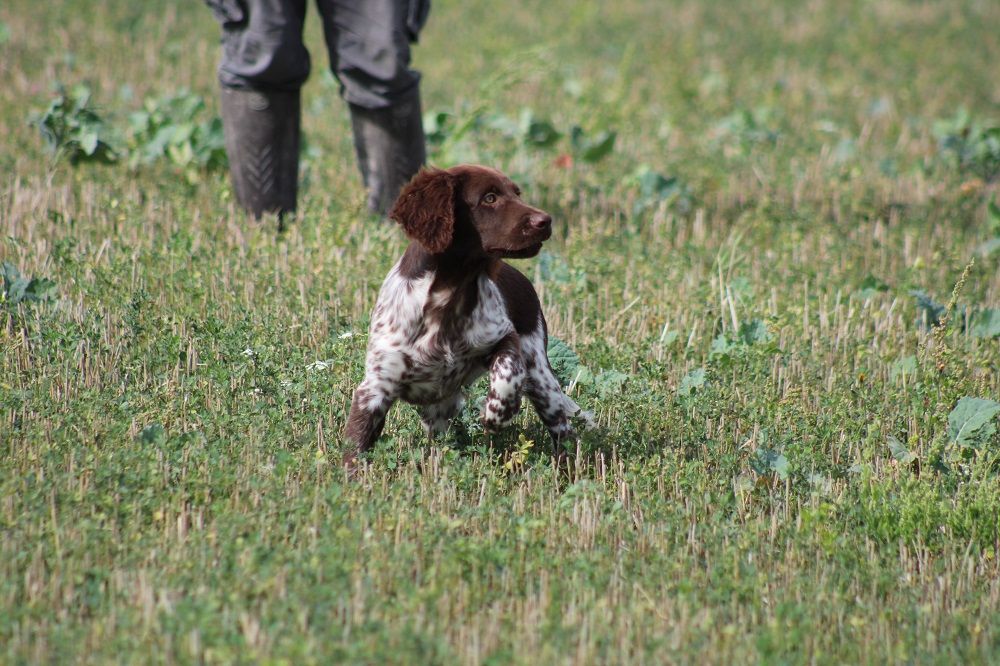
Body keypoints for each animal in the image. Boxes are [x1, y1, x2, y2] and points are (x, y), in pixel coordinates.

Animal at [346, 163, 588, 464]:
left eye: (516, 193)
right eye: (489, 198)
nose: (546, 221)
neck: (450, 295)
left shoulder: (504, 335)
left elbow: (508, 368)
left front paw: (497, 412)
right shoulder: (376, 387)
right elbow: (355, 446)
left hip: (542, 378)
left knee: (562, 430)